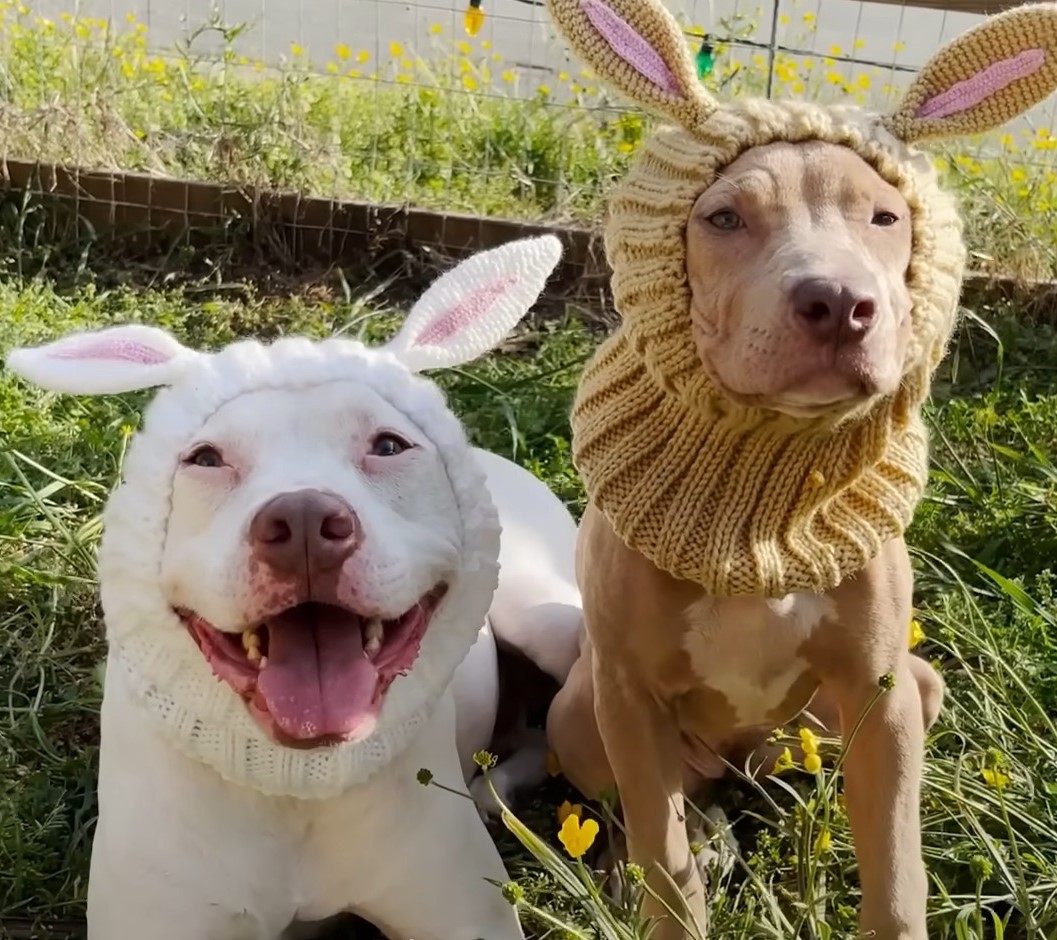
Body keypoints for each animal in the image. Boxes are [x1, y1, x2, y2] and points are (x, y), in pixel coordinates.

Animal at [8, 234, 583, 938]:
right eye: (205, 458)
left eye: (388, 445)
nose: (306, 522)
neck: (293, 784)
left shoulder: (465, 919)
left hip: (545, 616)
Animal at [541, 1, 1057, 938]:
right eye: (722, 219)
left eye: (883, 218)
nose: (840, 303)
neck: (757, 519)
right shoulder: (628, 698)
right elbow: (662, 853)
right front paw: (665, 890)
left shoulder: (881, 695)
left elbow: (893, 868)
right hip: (578, 710)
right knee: (652, 810)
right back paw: (667, 852)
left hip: (906, 689)